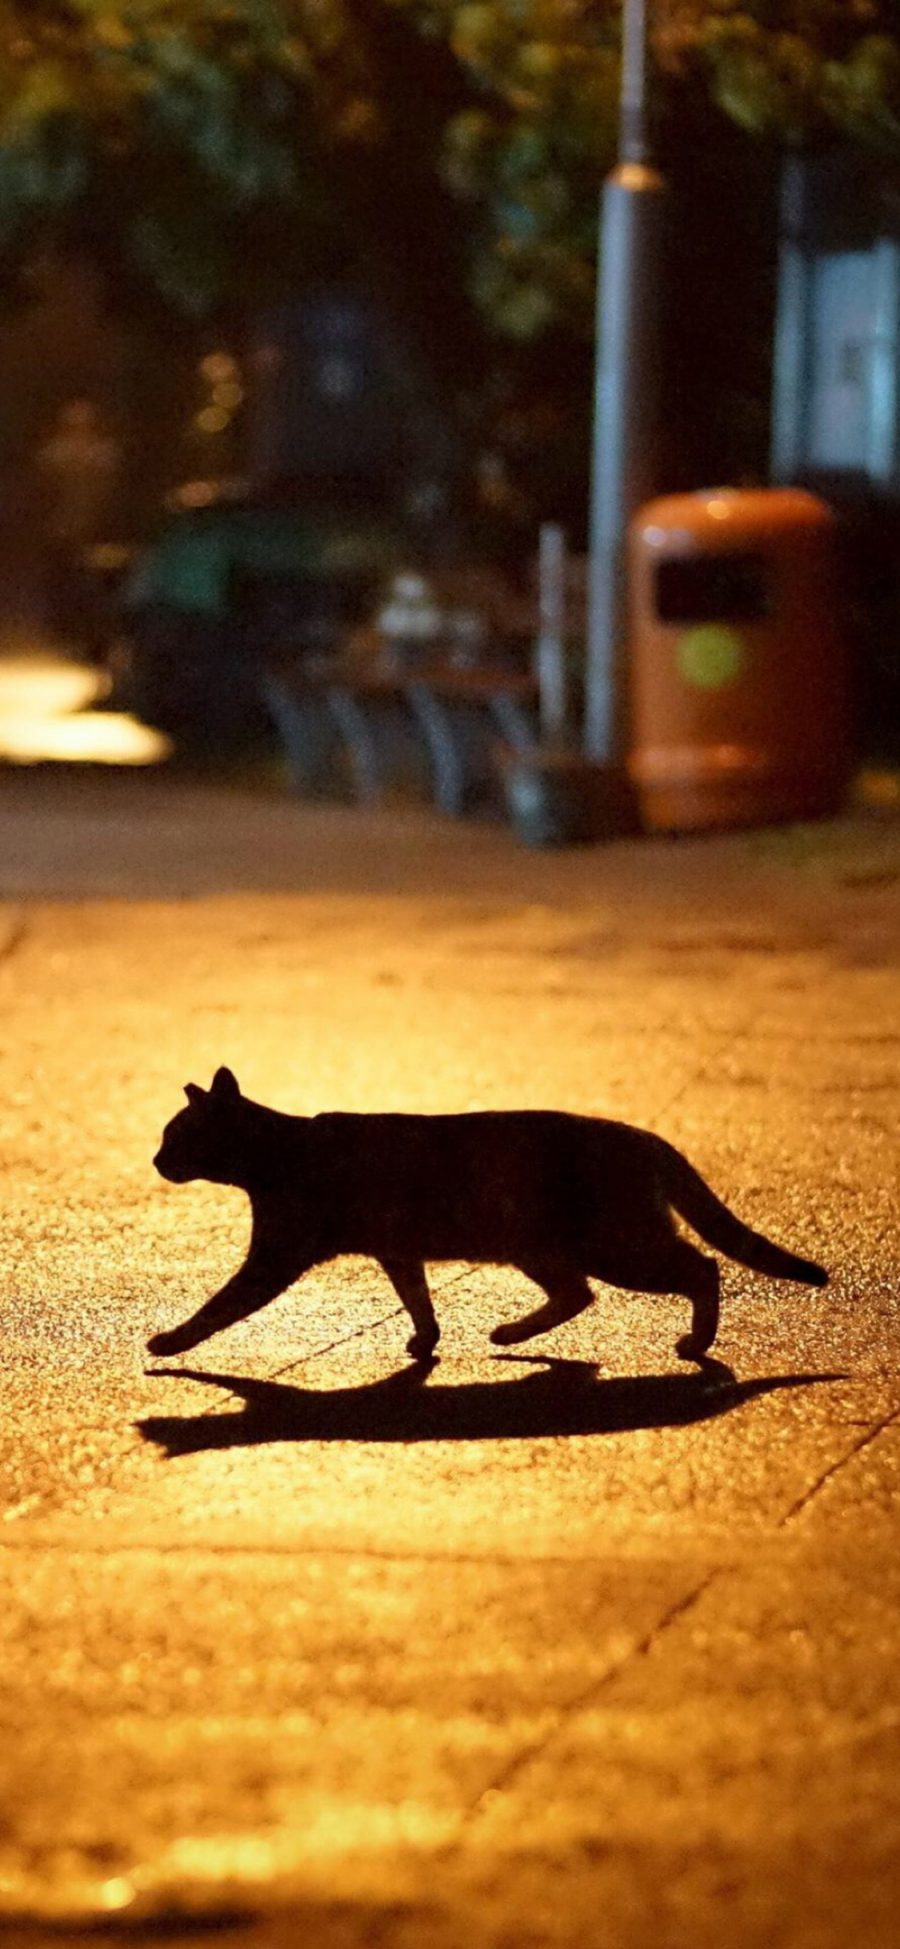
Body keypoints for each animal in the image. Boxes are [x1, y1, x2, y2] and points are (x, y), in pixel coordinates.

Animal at [149, 1075, 829, 1364]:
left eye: (174, 1136)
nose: (155, 1160)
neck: (280, 1150)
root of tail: (646, 1137)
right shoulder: (398, 1250)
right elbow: (418, 1300)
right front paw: (426, 1340)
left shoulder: (276, 1256)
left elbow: (219, 1307)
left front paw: (171, 1341)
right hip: (542, 1246)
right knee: (578, 1294)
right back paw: (512, 1335)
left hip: (612, 1244)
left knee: (702, 1266)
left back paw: (697, 1342)